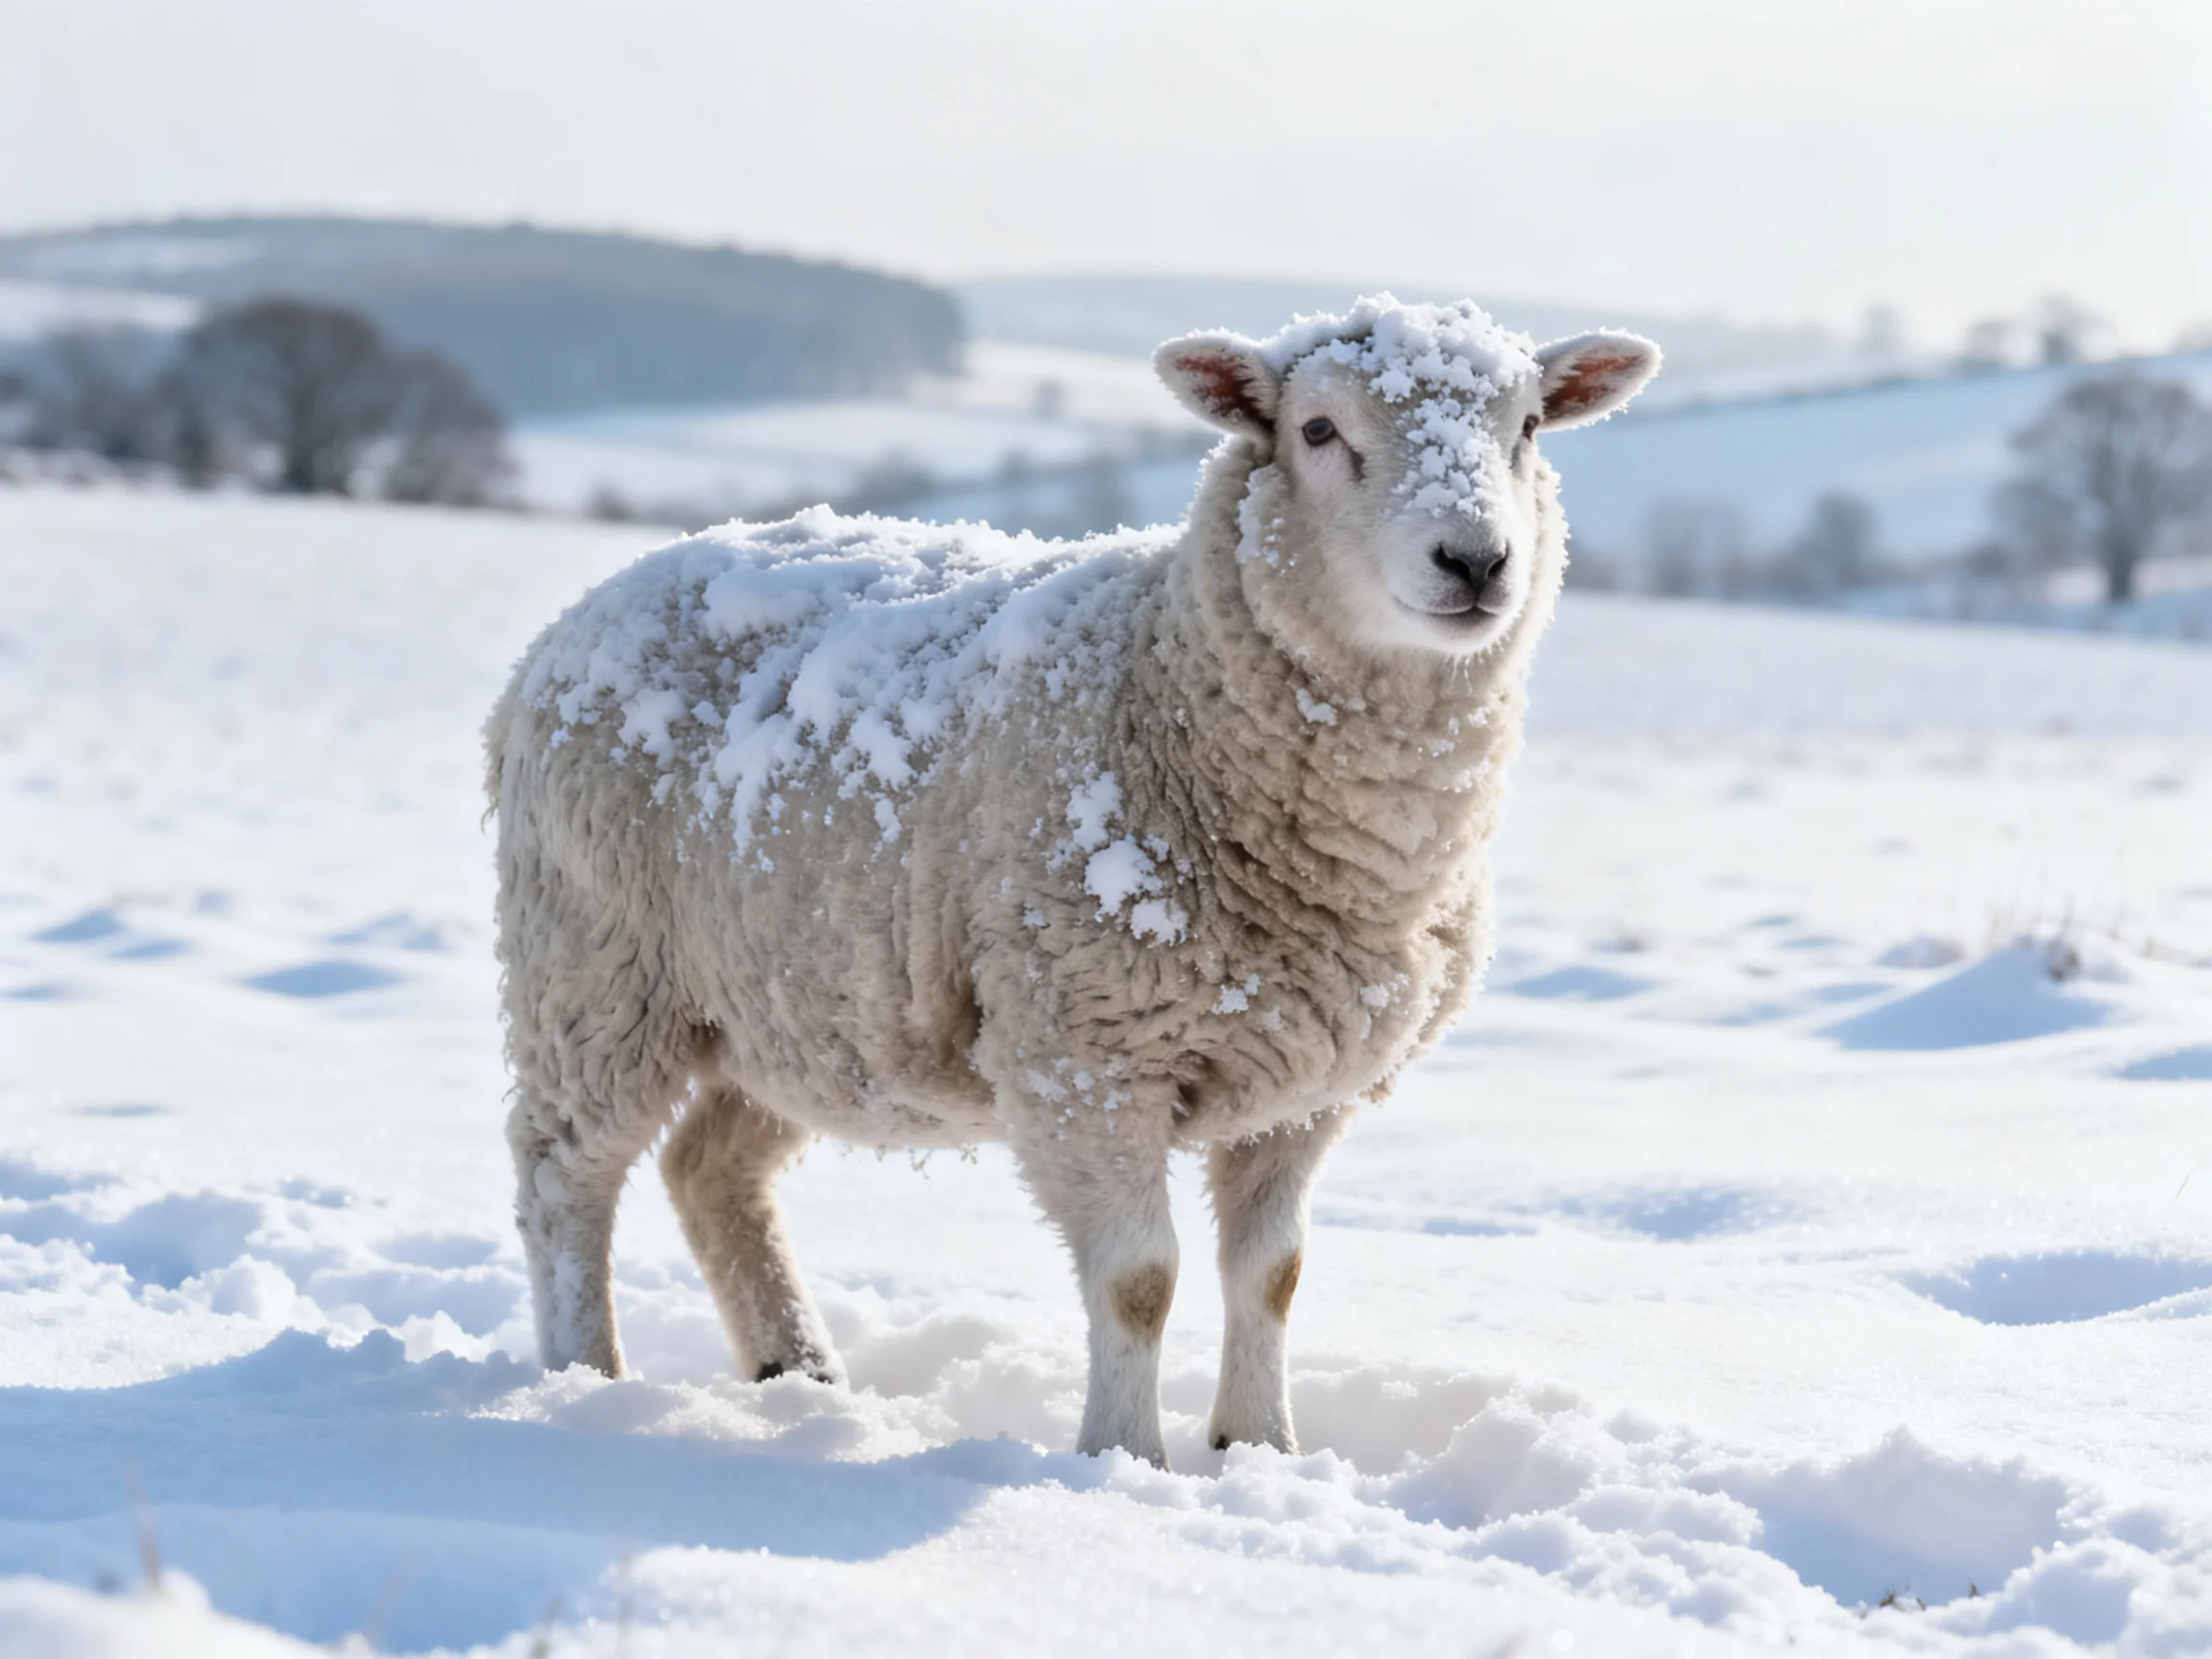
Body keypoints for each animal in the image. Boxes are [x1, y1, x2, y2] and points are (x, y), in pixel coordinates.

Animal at [485, 296, 1659, 1466]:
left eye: (1529, 426)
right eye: (1318, 430)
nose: (1475, 560)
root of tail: (588, 607)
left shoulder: (1301, 1087)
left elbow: (1272, 1276)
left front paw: (1258, 1451)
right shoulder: (1084, 1058)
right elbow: (1140, 1281)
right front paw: (1126, 1461)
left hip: (799, 1011)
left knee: (710, 1170)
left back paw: (800, 1372)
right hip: (596, 967)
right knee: (562, 1176)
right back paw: (585, 1375)